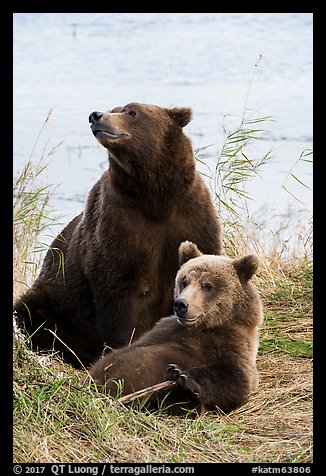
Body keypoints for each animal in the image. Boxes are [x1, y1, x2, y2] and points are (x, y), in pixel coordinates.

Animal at [13, 102, 222, 366]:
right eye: (115, 108)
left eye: (131, 111)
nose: (95, 115)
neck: (156, 197)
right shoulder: (117, 224)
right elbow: (116, 291)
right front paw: (122, 348)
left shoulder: (190, 217)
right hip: (57, 302)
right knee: (31, 312)